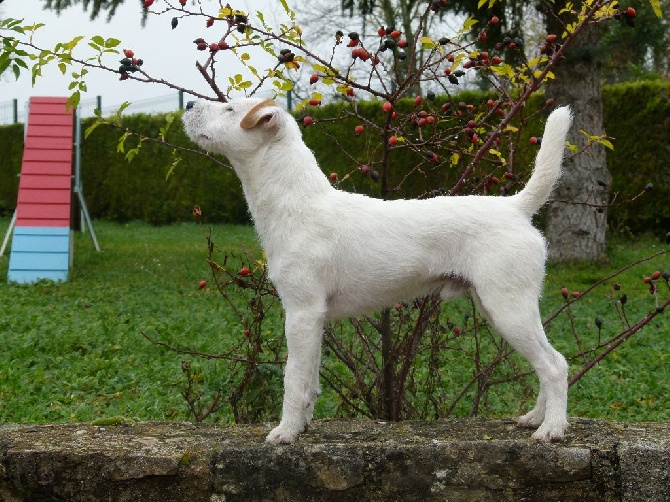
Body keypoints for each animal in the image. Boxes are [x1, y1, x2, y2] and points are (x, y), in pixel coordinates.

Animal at [182, 97, 572, 444]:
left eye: (231, 108)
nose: (187, 105)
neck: (298, 204)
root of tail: (516, 208)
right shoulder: (314, 319)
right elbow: (310, 380)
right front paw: (303, 425)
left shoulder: (301, 313)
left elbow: (293, 378)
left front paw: (286, 432)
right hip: (499, 307)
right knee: (549, 362)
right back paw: (536, 418)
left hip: (508, 309)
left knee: (554, 365)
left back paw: (551, 429)